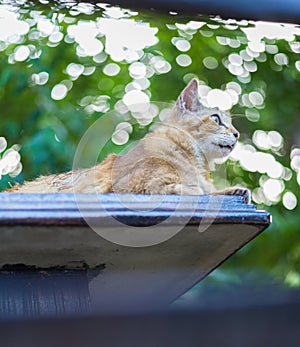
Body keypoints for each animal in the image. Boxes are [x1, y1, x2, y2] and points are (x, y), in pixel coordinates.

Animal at [7, 79, 251, 204]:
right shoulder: (141, 187)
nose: (237, 134)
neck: (197, 162)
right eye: (216, 119)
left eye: (231, 123)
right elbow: (195, 191)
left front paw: (236, 191)